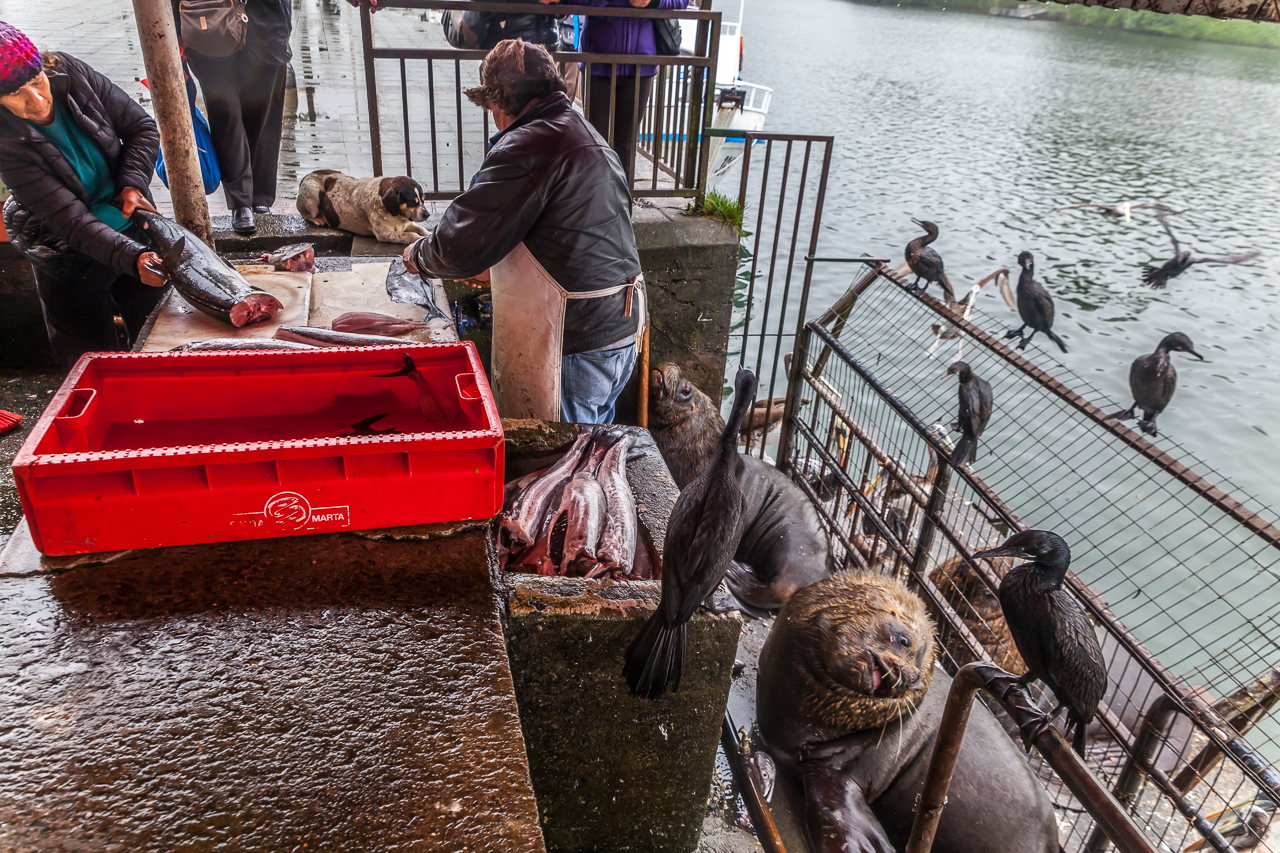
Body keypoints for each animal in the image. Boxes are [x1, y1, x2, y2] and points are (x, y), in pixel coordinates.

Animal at [297, 170, 431, 245]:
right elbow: (411, 235)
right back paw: (318, 219)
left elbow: (421, 229)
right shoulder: (384, 234)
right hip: (312, 195)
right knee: (306, 214)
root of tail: (307, 175)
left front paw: (429, 235)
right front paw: (418, 239)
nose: (427, 214)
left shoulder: (407, 224)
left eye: (423, 199)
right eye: (412, 202)